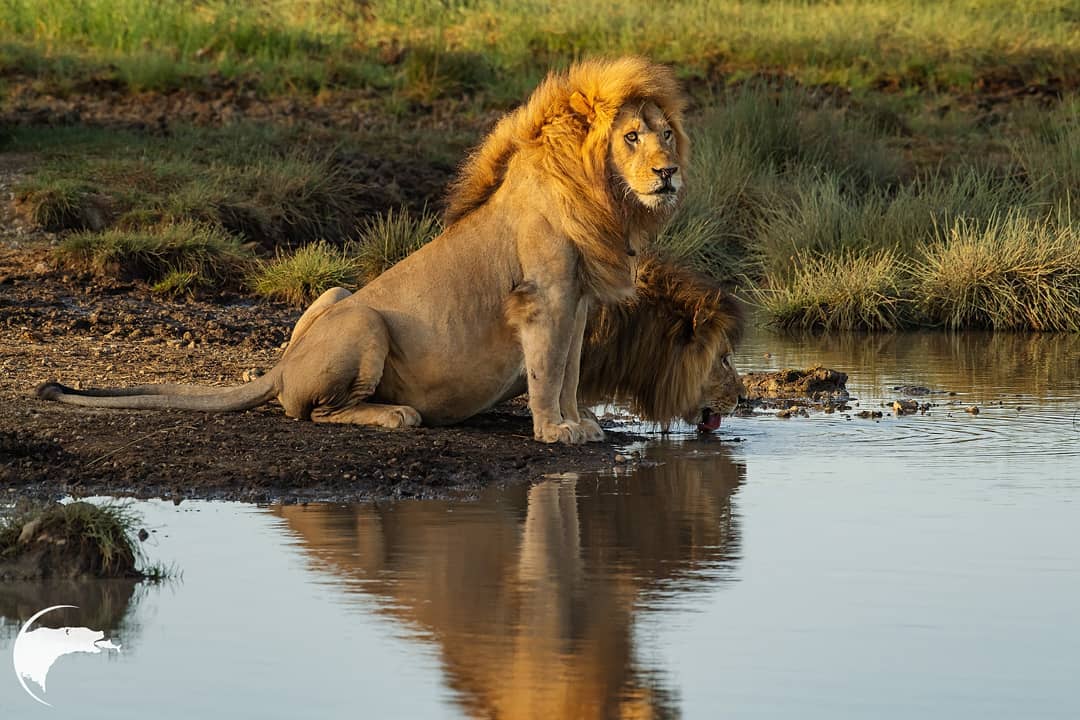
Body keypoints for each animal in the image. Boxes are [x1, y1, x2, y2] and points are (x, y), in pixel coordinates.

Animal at [39, 56, 691, 442]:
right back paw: (394, 415)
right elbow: (547, 370)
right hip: (364, 323)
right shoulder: (545, 298)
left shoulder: (577, 301)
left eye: (666, 134)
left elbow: (572, 369)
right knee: (312, 412)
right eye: (631, 137)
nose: (669, 173)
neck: (605, 197)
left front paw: (581, 421)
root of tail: (280, 366)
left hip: (336, 290)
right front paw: (555, 430)